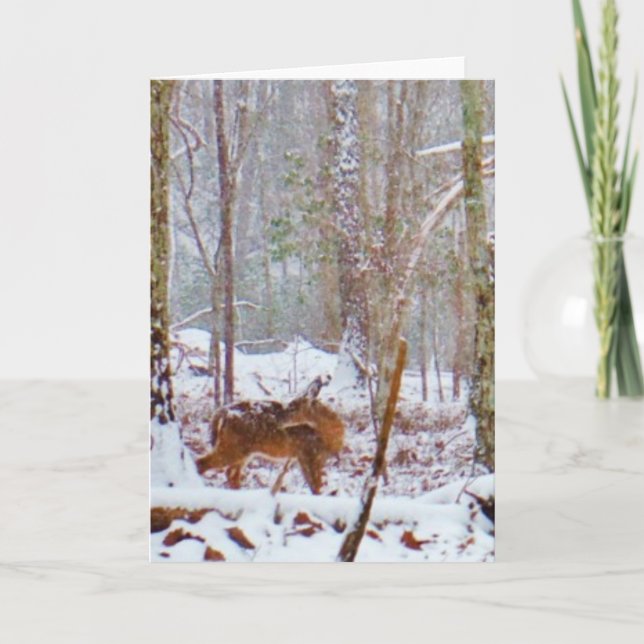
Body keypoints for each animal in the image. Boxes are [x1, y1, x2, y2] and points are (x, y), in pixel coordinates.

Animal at [194, 375, 344, 494]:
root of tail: (223, 412)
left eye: (293, 407)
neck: (329, 435)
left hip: (244, 451)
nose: (278, 418)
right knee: (202, 463)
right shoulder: (309, 453)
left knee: (231, 474)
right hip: (232, 446)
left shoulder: (303, 456)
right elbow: (316, 487)